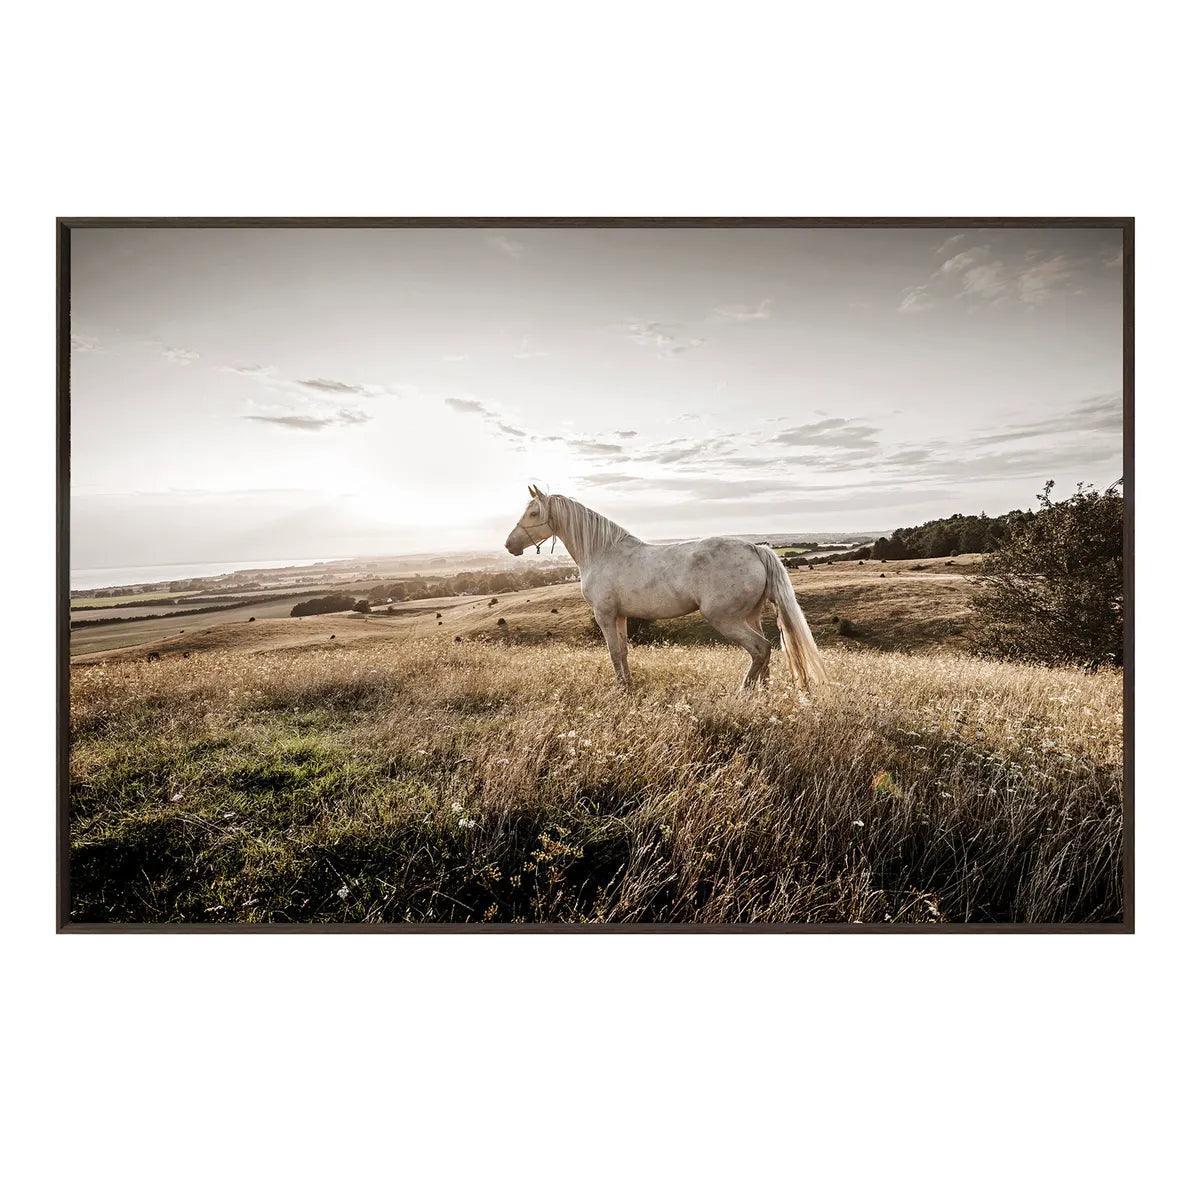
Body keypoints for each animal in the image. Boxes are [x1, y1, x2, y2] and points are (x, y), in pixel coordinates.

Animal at [505, 485, 827, 692]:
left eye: (533, 513)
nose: (509, 546)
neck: (601, 551)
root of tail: (754, 548)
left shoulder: (605, 615)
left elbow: (613, 652)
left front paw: (619, 690)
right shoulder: (620, 616)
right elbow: (623, 651)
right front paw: (628, 687)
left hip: (726, 619)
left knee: (760, 649)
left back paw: (742, 694)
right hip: (751, 616)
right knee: (766, 653)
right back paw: (764, 695)